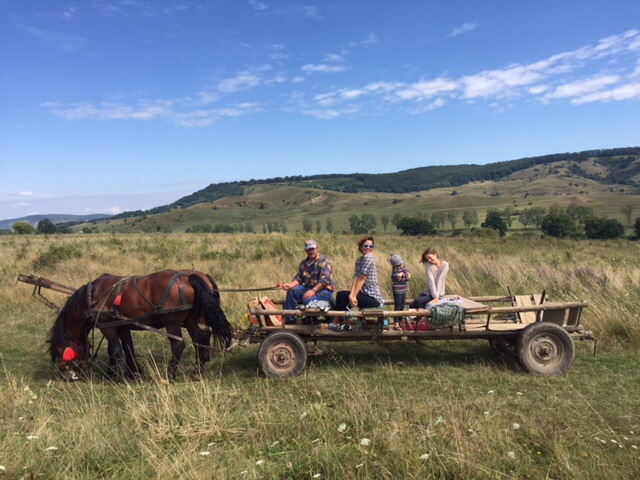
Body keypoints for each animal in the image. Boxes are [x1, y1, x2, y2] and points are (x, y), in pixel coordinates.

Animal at [48, 268, 232, 380]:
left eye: (60, 351)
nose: (65, 375)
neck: (92, 296)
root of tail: (189, 277)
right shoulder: (122, 326)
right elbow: (127, 348)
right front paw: (133, 371)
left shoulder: (107, 326)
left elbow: (116, 350)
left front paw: (122, 375)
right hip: (192, 319)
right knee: (199, 340)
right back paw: (198, 372)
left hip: (172, 322)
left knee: (178, 345)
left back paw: (169, 375)